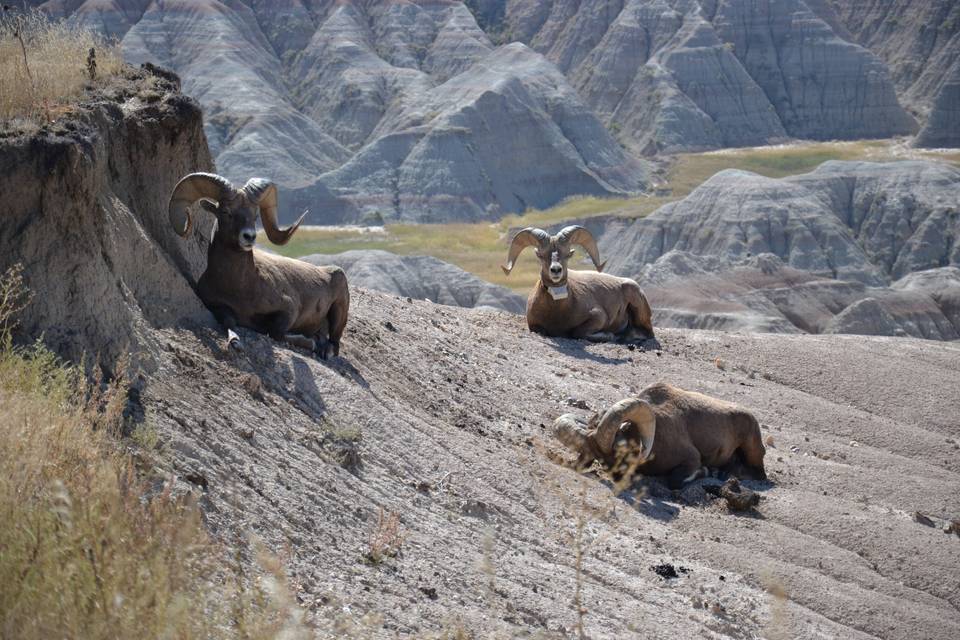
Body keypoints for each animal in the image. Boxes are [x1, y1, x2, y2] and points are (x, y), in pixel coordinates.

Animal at [169, 172, 348, 358]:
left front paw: (309, 343)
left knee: (335, 343)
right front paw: (235, 342)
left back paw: (324, 349)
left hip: (340, 309)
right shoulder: (216, 306)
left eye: (255, 215)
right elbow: (229, 322)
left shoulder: (289, 309)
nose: (249, 237)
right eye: (226, 212)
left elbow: (275, 332)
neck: (240, 287)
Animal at [502, 226, 652, 342]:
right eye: (541, 255)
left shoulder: (599, 316)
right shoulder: (533, 325)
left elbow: (577, 333)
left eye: (568, 255)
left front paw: (608, 335)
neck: (557, 310)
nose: (556, 270)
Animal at [556, 382, 764, 488]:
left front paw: (705, 471)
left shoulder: (692, 459)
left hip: (753, 451)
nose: (619, 476)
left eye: (619, 449)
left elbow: (675, 481)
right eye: (597, 458)